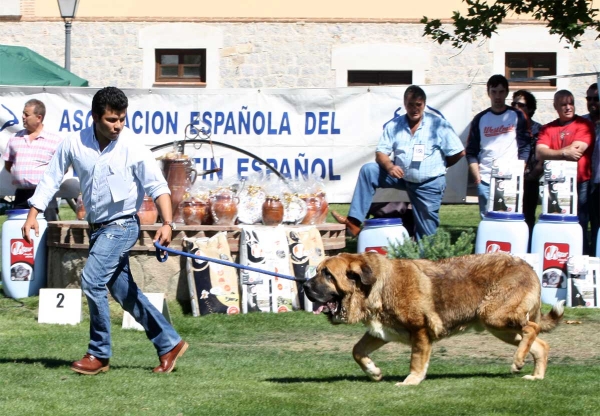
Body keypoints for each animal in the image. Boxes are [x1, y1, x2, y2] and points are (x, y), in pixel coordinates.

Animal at [302, 252, 564, 386]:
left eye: (327, 274)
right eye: (317, 271)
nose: (304, 286)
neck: (376, 286)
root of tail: (529, 266)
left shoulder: (419, 330)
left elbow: (416, 359)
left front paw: (411, 381)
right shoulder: (382, 332)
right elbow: (357, 351)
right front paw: (373, 372)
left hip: (494, 316)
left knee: (531, 329)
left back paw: (518, 361)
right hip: (500, 327)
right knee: (541, 344)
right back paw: (536, 375)